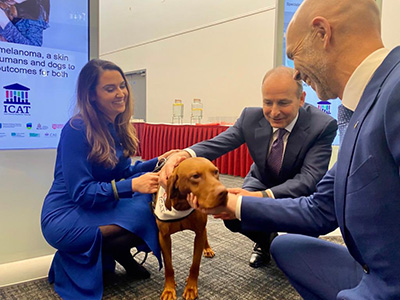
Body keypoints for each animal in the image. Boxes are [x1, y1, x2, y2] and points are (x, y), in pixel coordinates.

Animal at [154, 157, 227, 300]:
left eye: (216, 172)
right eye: (195, 176)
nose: (224, 192)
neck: (182, 205)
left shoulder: (199, 233)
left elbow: (195, 265)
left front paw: (191, 288)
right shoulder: (163, 237)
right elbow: (168, 267)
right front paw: (169, 289)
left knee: (205, 233)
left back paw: (208, 248)